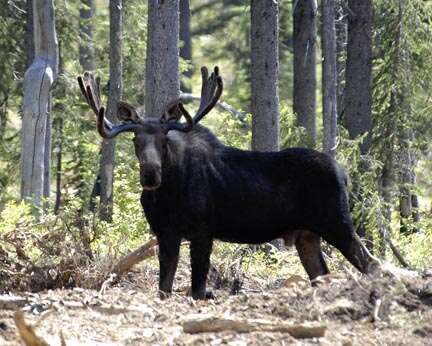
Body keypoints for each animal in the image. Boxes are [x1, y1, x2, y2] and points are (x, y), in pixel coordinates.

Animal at [77, 66, 368, 298]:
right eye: (135, 139)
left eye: (164, 140)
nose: (150, 174)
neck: (167, 195)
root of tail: (344, 174)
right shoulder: (166, 233)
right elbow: (164, 287)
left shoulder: (202, 231)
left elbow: (197, 289)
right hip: (307, 235)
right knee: (322, 273)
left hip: (337, 223)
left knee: (370, 263)